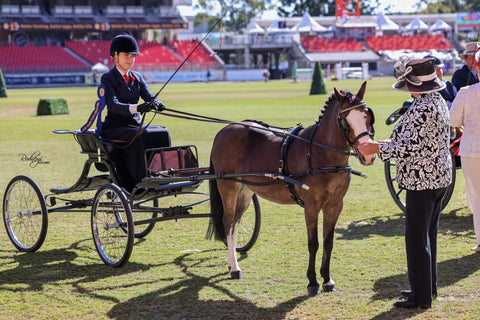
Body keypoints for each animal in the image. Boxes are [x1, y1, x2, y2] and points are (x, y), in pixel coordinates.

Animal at [206, 80, 376, 296]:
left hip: (246, 190)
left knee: (235, 222)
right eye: (346, 120)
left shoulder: (335, 205)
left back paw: (231, 263)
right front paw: (312, 282)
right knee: (228, 222)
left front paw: (327, 279)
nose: (368, 153)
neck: (321, 153)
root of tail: (226, 128)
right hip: (228, 186)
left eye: (367, 116)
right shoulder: (311, 206)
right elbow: (313, 243)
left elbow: (328, 241)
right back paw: (234, 268)